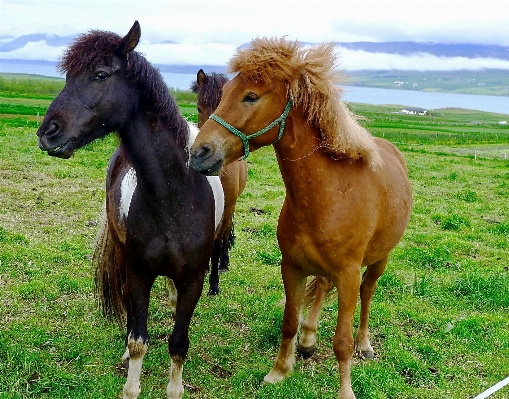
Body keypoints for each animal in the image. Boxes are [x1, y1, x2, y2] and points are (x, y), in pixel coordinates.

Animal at [36, 21, 223, 399]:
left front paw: (174, 387)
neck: (173, 196)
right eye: (67, 76)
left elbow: (178, 342)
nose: (48, 133)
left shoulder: (193, 280)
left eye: (101, 74)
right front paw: (131, 376)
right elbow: (138, 339)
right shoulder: (138, 273)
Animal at [190, 69, 247, 290]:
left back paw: (223, 263)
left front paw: (214, 283)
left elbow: (217, 242)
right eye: (199, 108)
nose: (203, 155)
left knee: (224, 234)